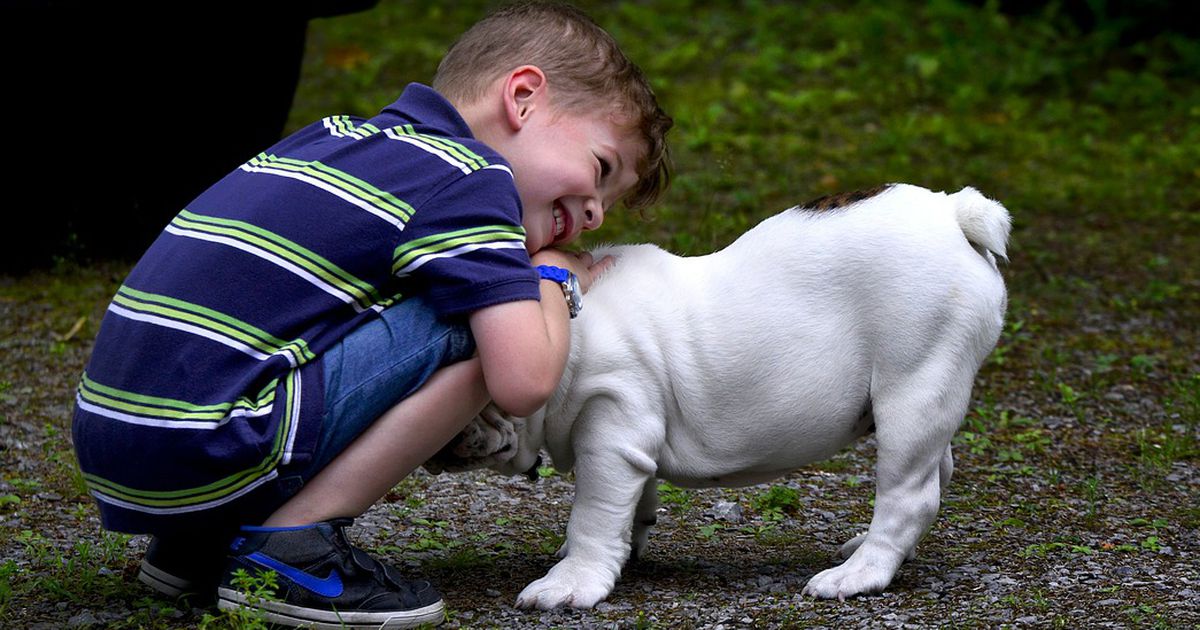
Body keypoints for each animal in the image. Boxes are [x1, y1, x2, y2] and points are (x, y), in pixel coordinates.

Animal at [427, 181, 1008, 604]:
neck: (565, 328)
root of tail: (954, 213)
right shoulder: (631, 443)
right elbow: (632, 502)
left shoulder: (611, 430)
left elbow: (594, 512)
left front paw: (571, 581)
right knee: (935, 470)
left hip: (914, 383)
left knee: (908, 493)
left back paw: (857, 573)